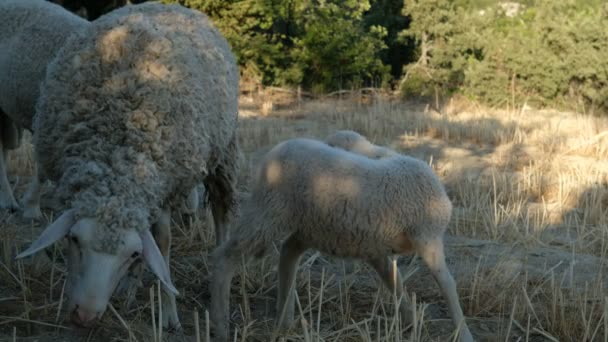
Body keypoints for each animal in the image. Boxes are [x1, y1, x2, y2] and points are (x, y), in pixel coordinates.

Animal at [16, 1, 240, 330]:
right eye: (74, 239)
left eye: (132, 253)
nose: (84, 315)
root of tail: (171, 6)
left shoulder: (167, 185)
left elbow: (163, 242)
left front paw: (169, 313)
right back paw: (130, 288)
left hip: (223, 153)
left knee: (222, 212)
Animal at [210, 138, 476, 340]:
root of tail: (274, 152)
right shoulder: (427, 237)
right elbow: (447, 284)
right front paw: (463, 333)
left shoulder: (375, 247)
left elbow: (395, 280)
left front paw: (411, 321)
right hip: (268, 213)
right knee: (225, 257)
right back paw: (221, 325)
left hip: (310, 226)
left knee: (287, 253)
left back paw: (284, 320)